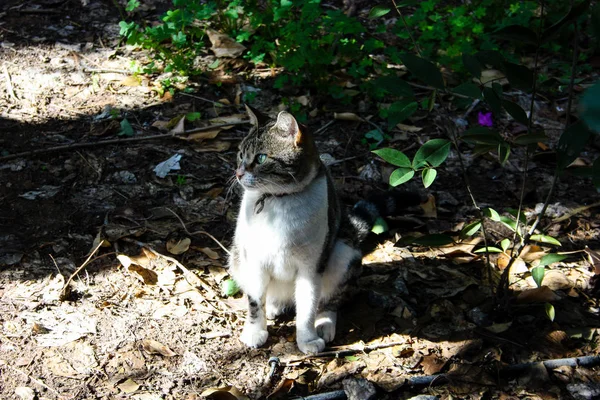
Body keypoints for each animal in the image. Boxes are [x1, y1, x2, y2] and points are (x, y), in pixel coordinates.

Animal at [230, 105, 418, 354]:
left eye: (260, 158)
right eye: (241, 154)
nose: (238, 173)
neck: (278, 201)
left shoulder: (312, 266)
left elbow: (308, 307)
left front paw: (307, 339)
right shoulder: (253, 259)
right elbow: (254, 301)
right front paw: (254, 331)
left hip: (342, 253)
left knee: (330, 301)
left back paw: (324, 324)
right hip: (235, 259)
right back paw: (273, 305)